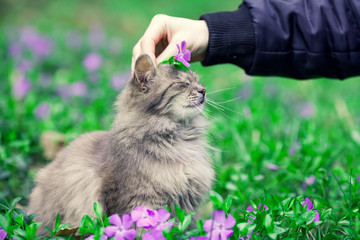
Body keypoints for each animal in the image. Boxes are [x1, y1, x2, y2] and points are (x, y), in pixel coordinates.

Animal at [28, 54, 214, 234]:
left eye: (198, 81)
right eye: (182, 83)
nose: (203, 90)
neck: (179, 139)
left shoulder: (186, 205)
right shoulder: (139, 200)